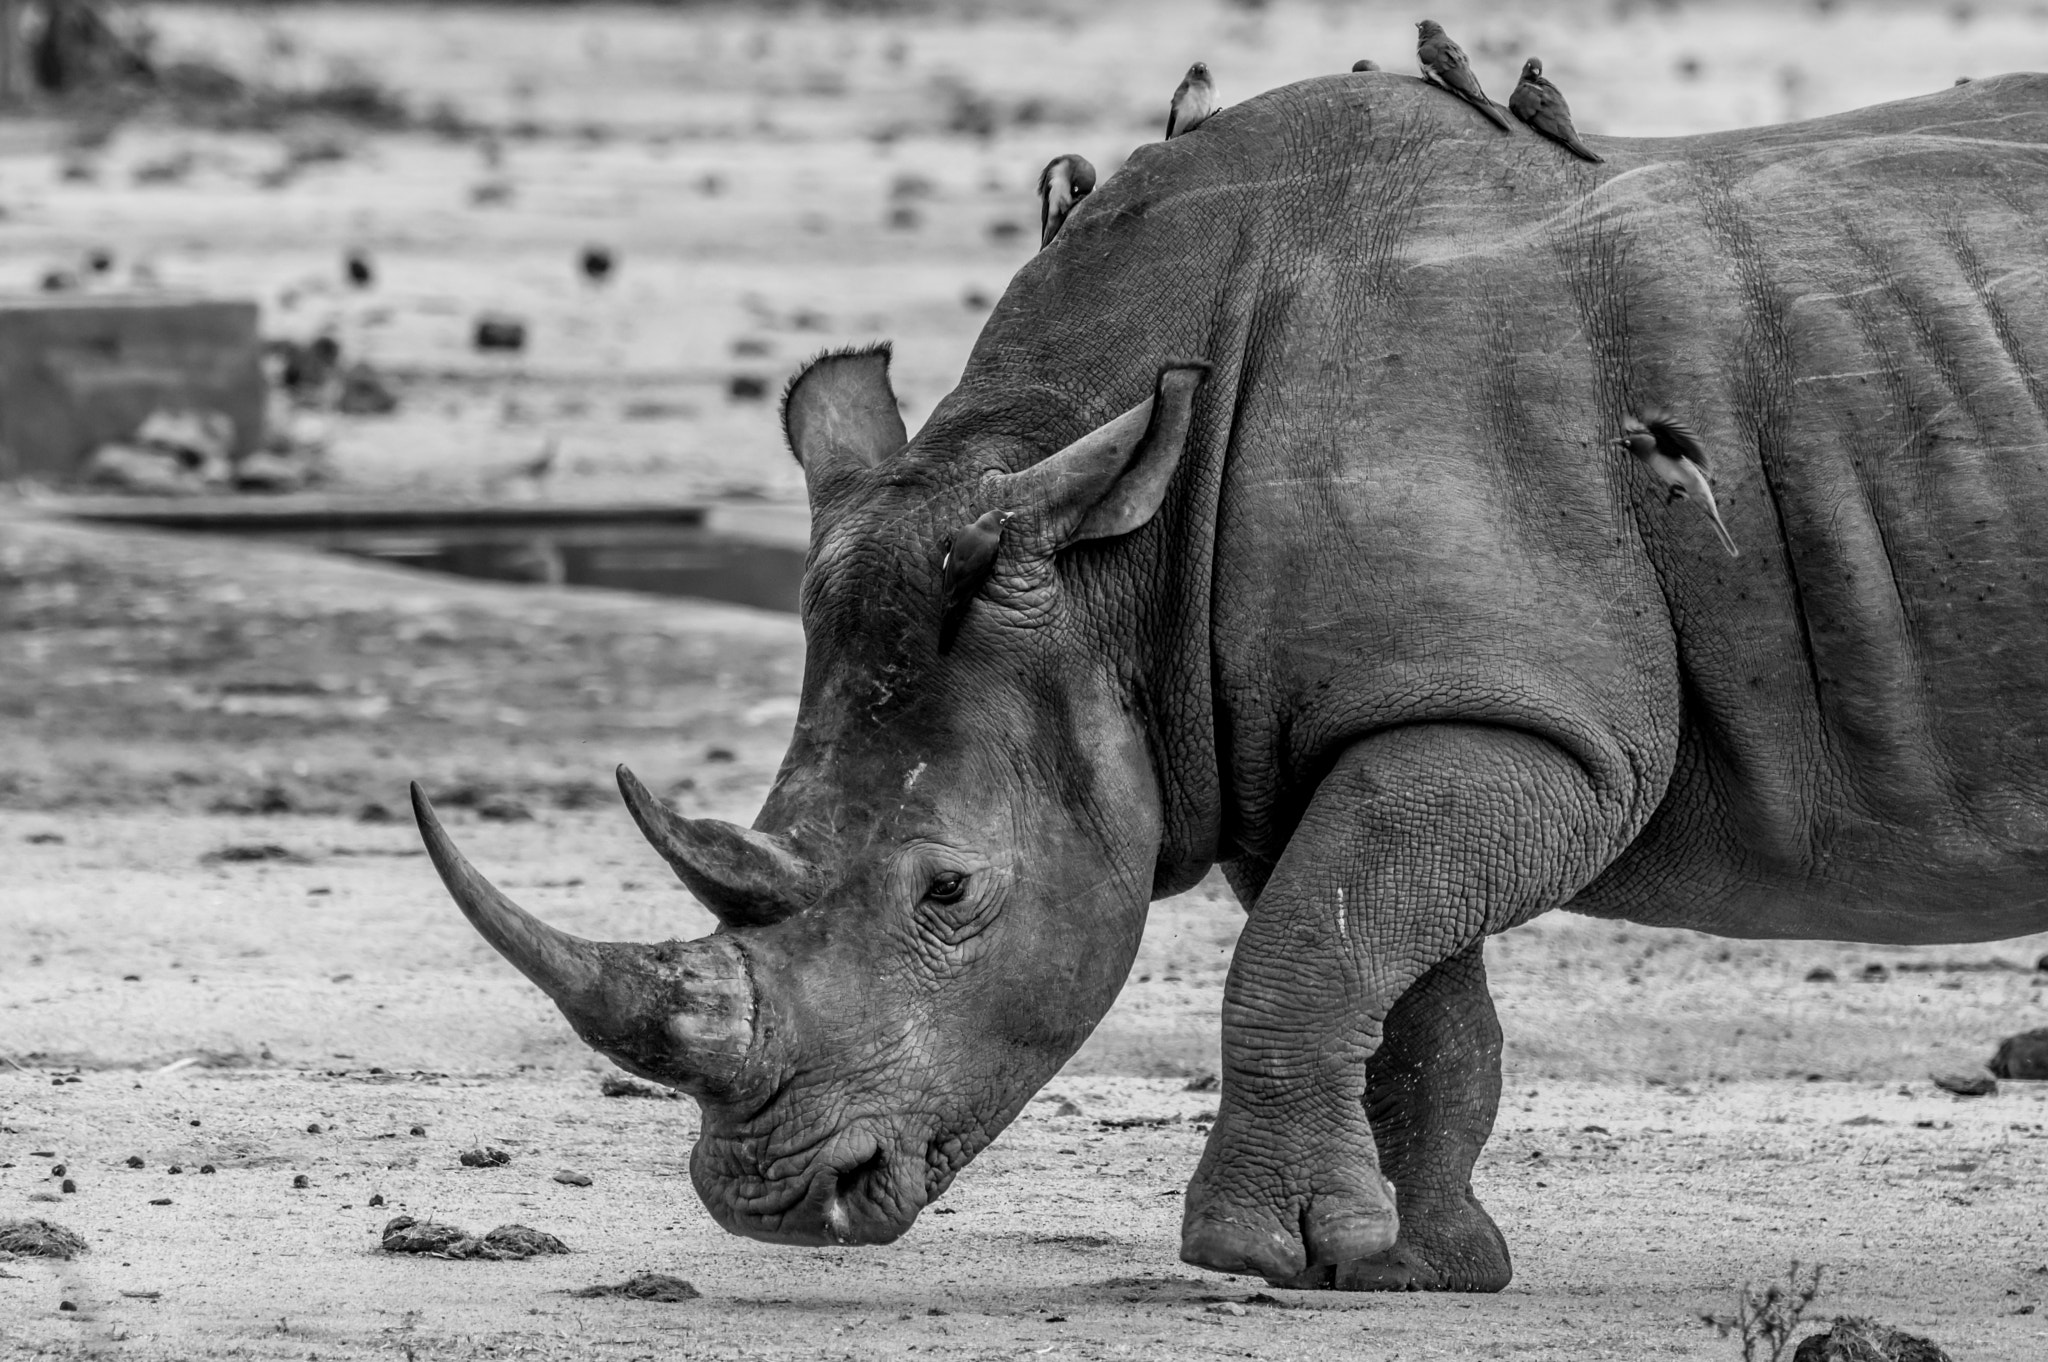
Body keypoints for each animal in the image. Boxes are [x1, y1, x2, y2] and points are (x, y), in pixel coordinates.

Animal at [412, 71, 2048, 1291]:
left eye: (950, 893)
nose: (770, 1202)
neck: (1106, 556)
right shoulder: (1334, 720)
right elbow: (1394, 978)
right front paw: (1403, 1265)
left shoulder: (1521, 725)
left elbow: (1309, 953)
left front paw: (1257, 1257)